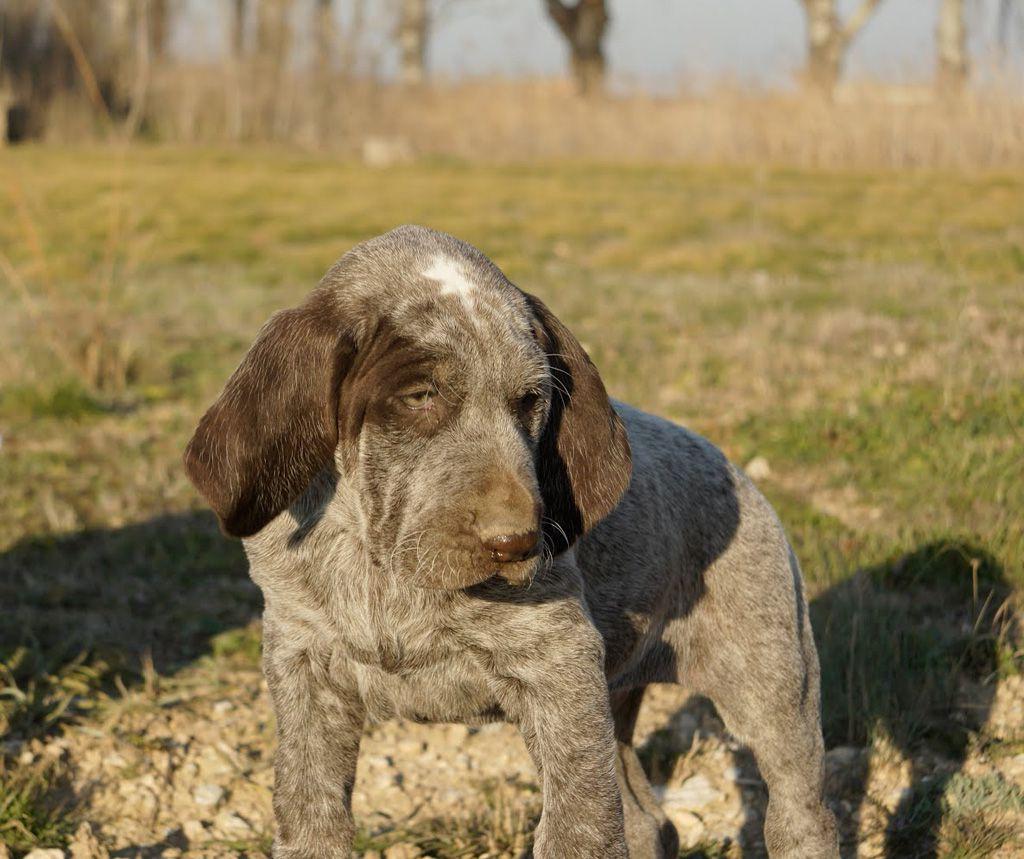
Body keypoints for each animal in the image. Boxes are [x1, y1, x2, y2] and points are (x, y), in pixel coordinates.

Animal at [184, 225, 839, 855]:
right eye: (421, 396)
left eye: (530, 401)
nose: (518, 544)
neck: (386, 567)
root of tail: (740, 474)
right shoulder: (304, 665)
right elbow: (310, 818)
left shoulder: (558, 667)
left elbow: (578, 832)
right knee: (647, 821)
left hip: (772, 691)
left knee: (800, 814)